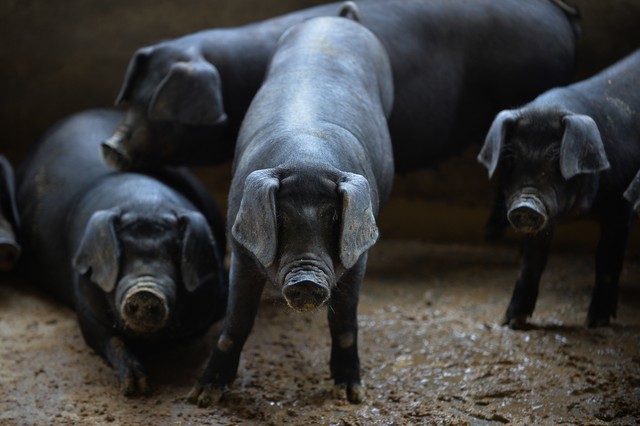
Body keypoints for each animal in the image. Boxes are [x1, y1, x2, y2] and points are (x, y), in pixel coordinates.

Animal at [14, 110, 230, 396]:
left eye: (175, 252)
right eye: (121, 252)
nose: (145, 291)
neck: (144, 203)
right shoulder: (84, 297)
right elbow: (110, 338)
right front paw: (135, 388)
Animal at [185, 11, 396, 408]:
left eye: (335, 220)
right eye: (279, 218)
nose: (307, 281)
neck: (307, 156)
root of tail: (336, 18)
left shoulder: (360, 255)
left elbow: (345, 323)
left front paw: (351, 395)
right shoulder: (240, 248)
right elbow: (236, 322)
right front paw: (201, 397)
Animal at [478, 49, 640, 330]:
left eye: (557, 159)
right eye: (510, 158)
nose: (526, 204)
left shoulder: (622, 207)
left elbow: (607, 261)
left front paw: (595, 322)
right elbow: (532, 263)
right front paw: (512, 322)